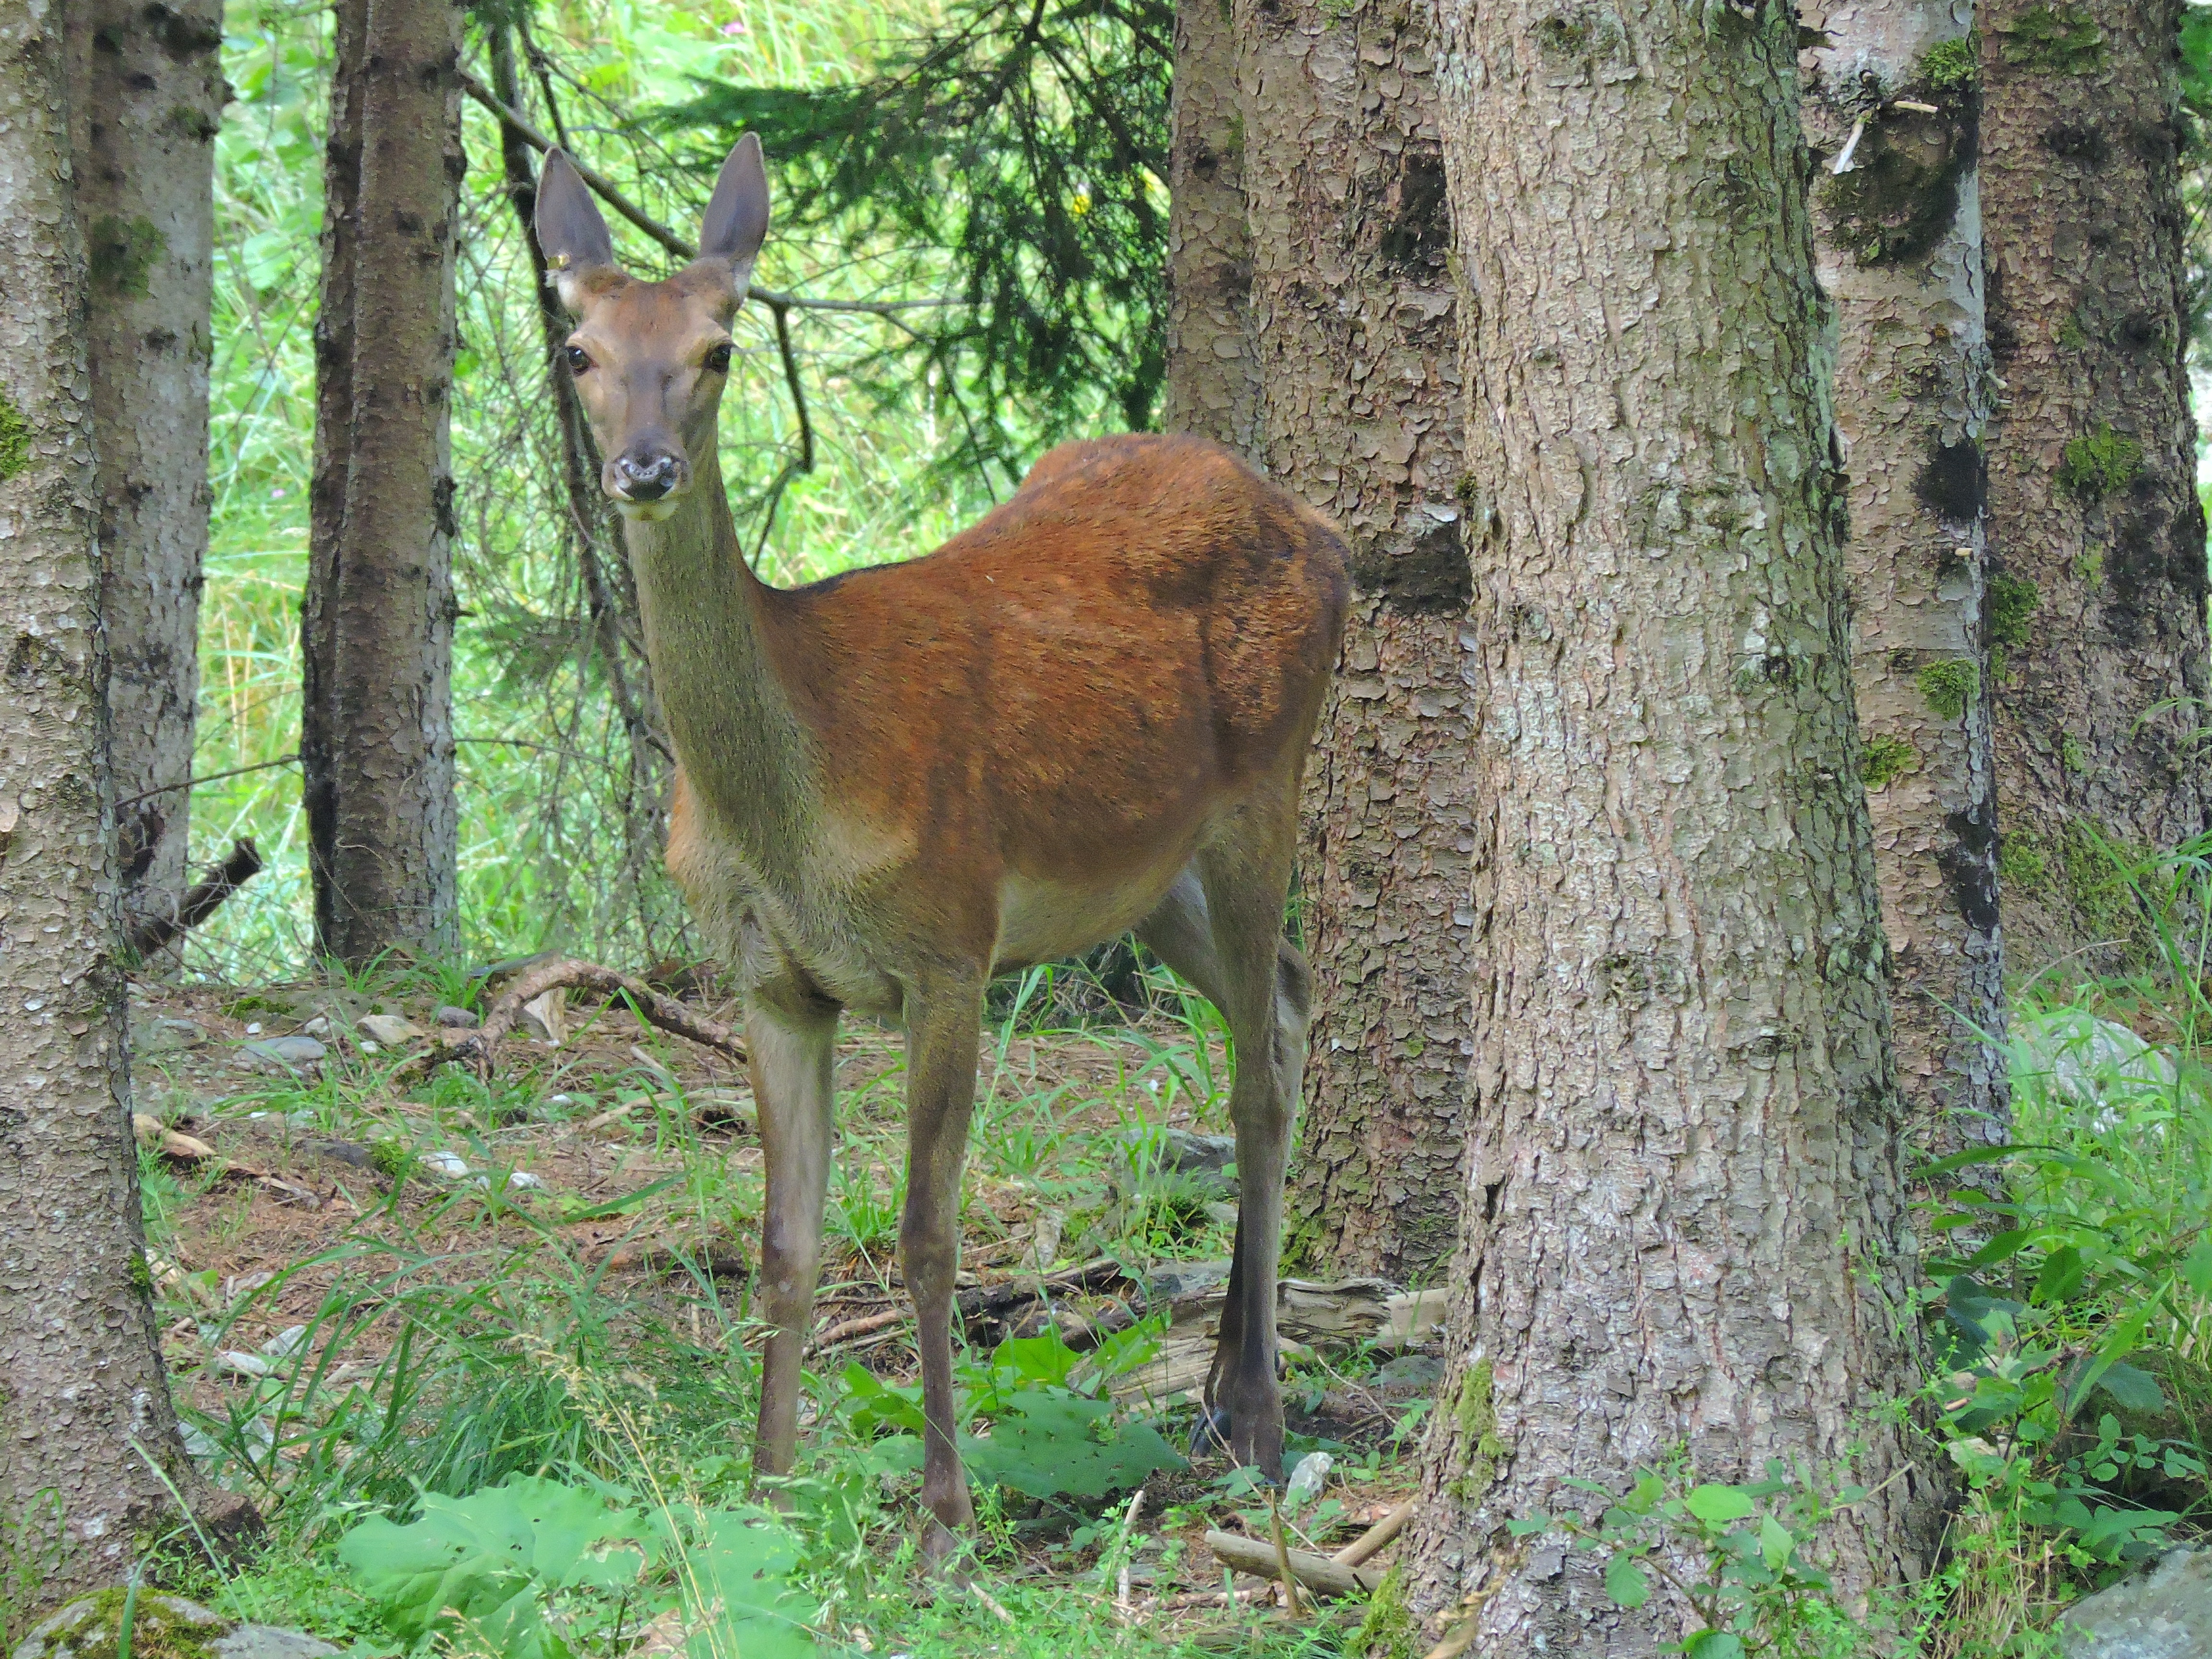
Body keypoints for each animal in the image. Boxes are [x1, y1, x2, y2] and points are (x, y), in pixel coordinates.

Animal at [535, 140, 1354, 1557]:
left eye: (718, 348)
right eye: (579, 348)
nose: (644, 469)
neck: (791, 803)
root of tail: (1325, 528)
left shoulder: (949, 941)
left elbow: (926, 1233)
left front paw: (943, 1527)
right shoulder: (768, 979)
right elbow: (785, 1245)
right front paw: (765, 1501)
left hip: (1265, 781)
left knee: (1254, 1071)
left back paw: (1253, 1412)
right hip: (1148, 872)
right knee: (1296, 1005)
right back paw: (1216, 1384)